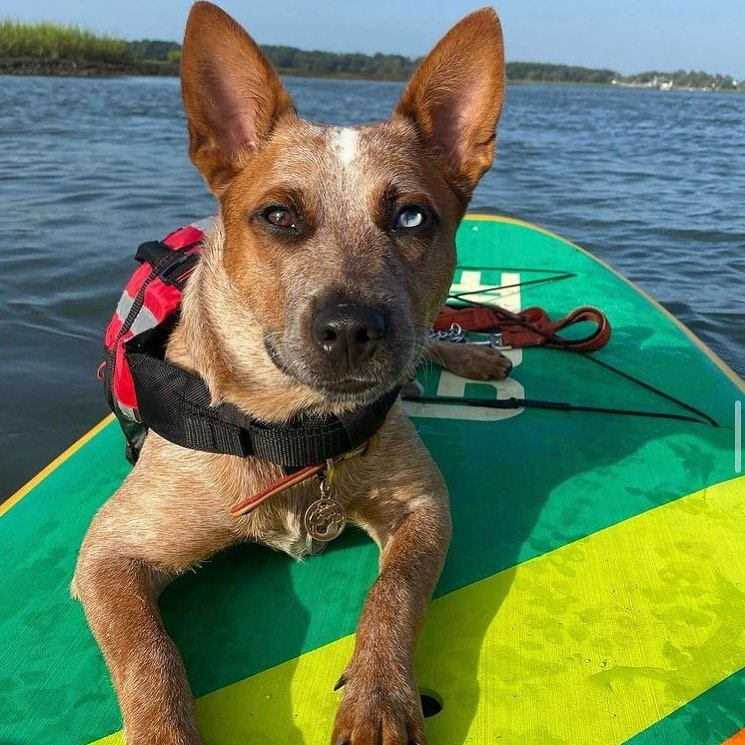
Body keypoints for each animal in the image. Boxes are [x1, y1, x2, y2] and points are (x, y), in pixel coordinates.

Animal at [72, 2, 506, 740]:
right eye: (278, 215)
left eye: (411, 215)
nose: (351, 327)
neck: (295, 432)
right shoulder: (108, 553)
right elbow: (150, 654)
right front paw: (163, 728)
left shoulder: (423, 504)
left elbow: (392, 592)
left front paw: (378, 694)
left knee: (435, 335)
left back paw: (472, 351)